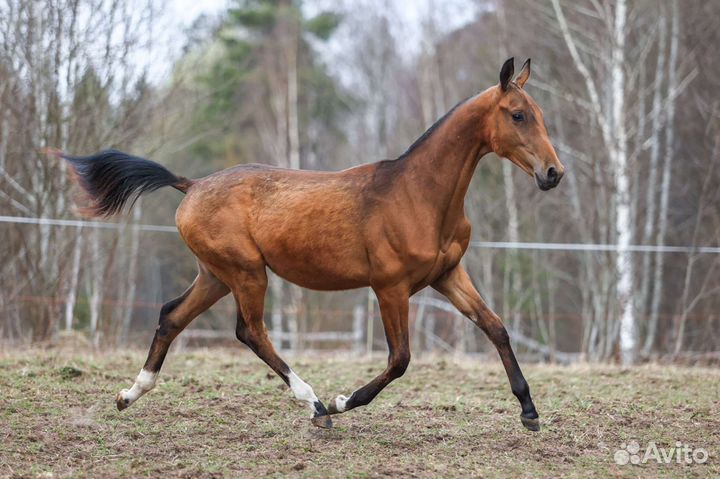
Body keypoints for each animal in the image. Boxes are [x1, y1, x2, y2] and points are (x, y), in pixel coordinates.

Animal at [57, 58, 564, 432]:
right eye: (518, 115)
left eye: (540, 114)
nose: (553, 173)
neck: (418, 195)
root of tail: (192, 185)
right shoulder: (390, 288)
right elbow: (400, 359)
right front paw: (342, 401)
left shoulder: (447, 275)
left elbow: (496, 328)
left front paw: (529, 412)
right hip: (246, 272)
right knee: (250, 332)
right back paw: (316, 405)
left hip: (216, 275)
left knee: (171, 316)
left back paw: (129, 395)